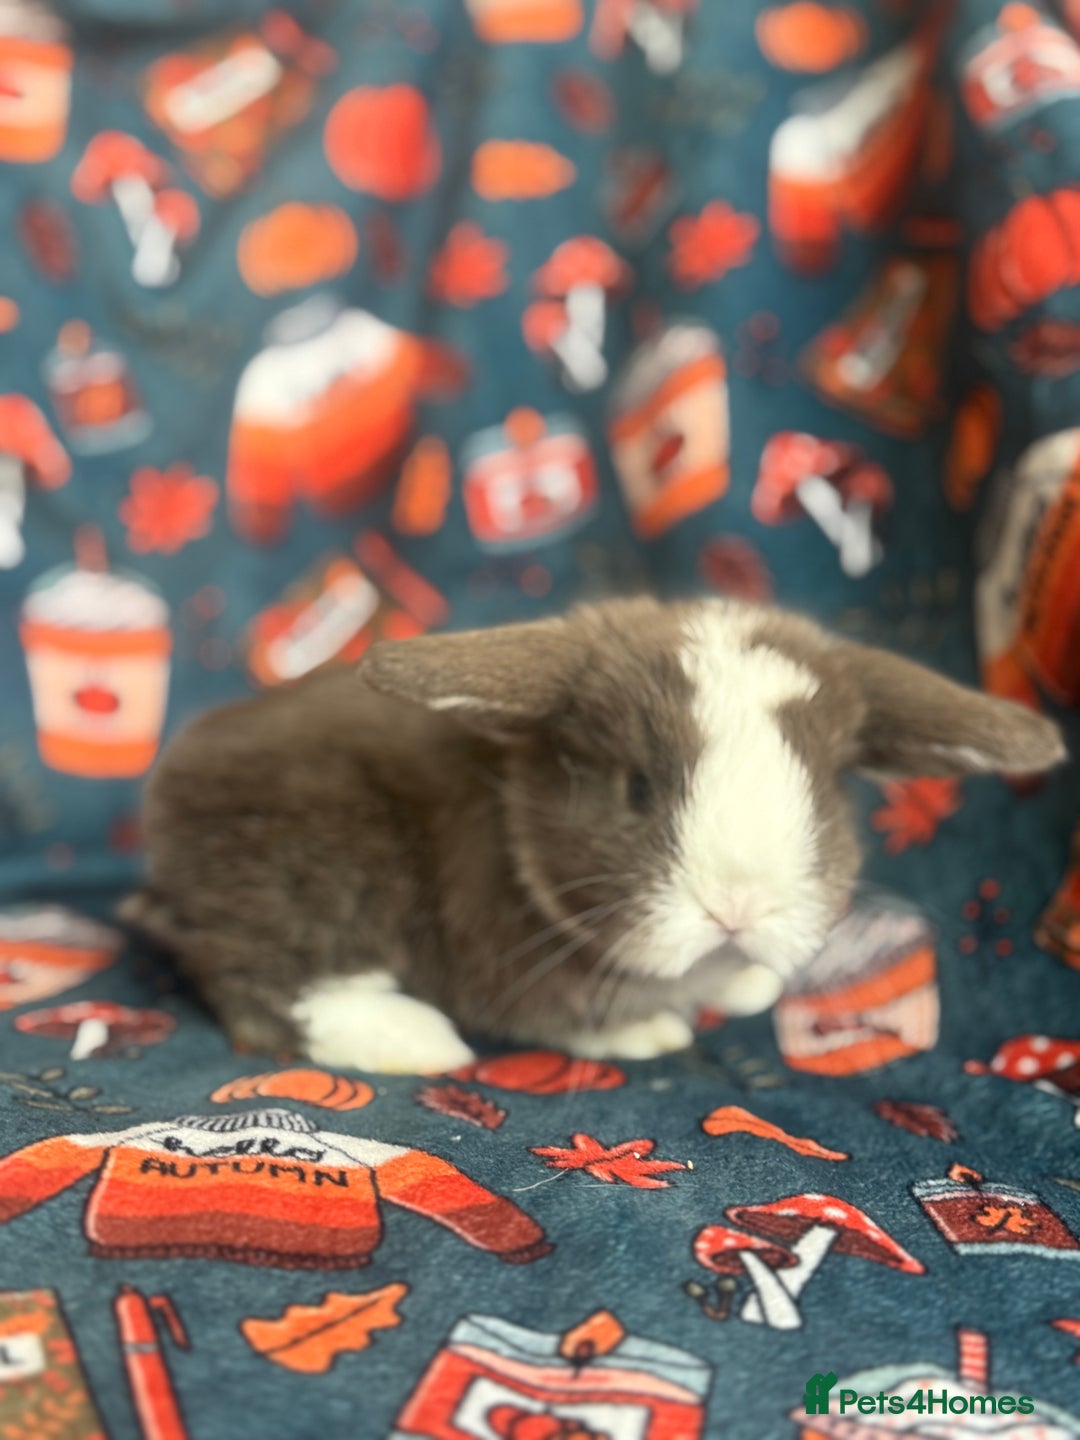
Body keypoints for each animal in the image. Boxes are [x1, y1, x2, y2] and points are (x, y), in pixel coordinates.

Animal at [120, 595, 1066, 1075]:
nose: (738, 907)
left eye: (824, 789)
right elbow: (571, 1016)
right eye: (636, 788)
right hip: (309, 877)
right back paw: (419, 1042)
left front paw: (744, 986)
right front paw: (651, 1032)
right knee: (259, 982)